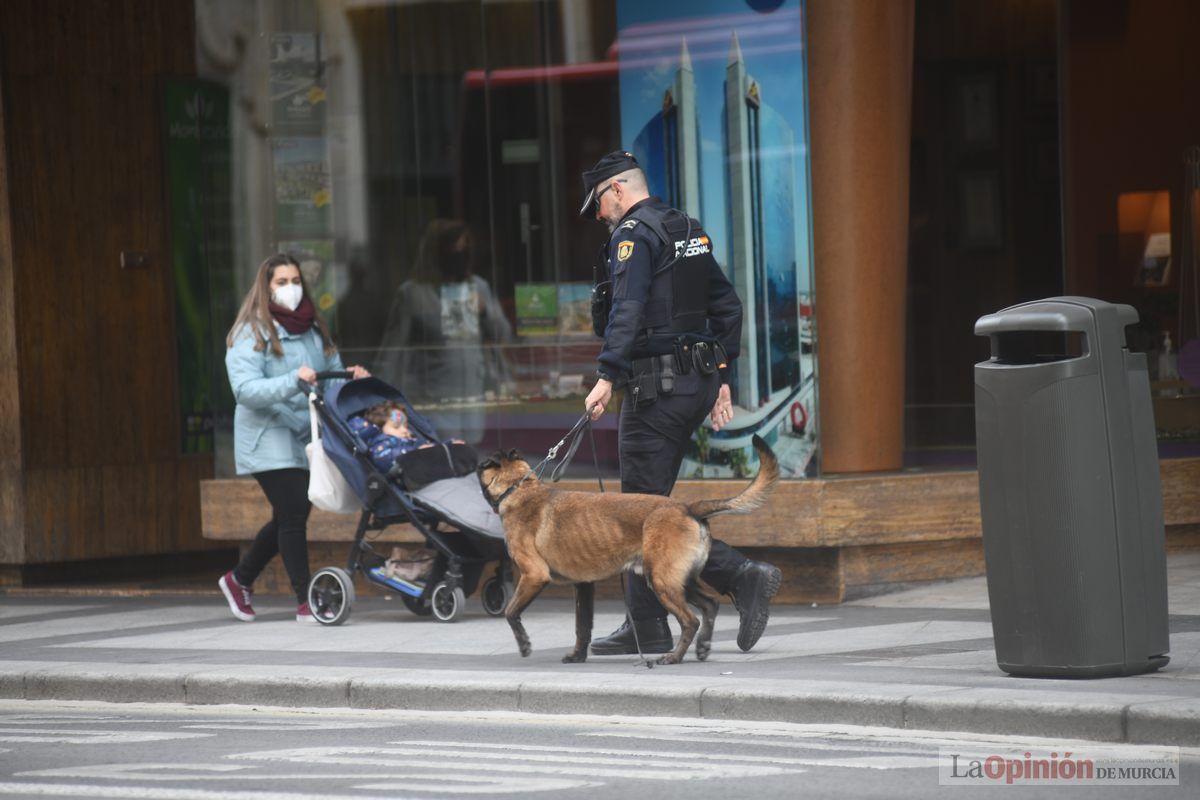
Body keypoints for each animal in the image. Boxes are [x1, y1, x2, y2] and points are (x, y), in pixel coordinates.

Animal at [475, 434, 777, 666]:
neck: (519, 487)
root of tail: (686, 507)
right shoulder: (583, 586)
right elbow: (582, 627)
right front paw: (577, 656)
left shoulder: (534, 575)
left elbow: (511, 611)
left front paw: (524, 644)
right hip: (677, 580)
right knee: (710, 605)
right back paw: (702, 647)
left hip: (661, 581)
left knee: (690, 620)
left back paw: (674, 657)